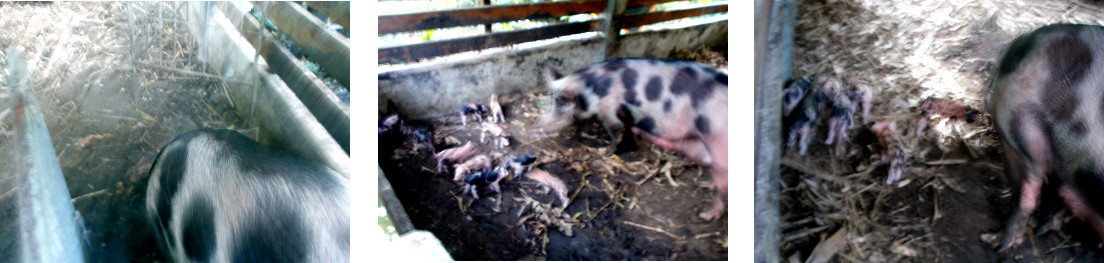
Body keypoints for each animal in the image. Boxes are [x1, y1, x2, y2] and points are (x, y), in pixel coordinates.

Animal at [538, 58, 728, 219]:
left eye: (560, 108)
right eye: (549, 103)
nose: (540, 127)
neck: (591, 90)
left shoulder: (609, 111)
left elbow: (616, 132)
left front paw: (606, 152)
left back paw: (705, 215)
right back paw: (705, 185)